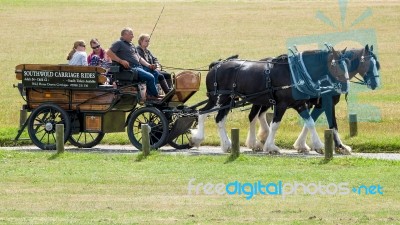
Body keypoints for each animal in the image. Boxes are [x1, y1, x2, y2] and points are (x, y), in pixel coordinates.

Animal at [191, 48, 350, 152]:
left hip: (225, 101)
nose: (344, 87)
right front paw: (271, 146)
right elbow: (275, 125)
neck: (295, 73)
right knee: (205, 114)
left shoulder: (299, 104)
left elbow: (310, 123)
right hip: (219, 99)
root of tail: (217, 64)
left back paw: (226, 145)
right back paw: (201, 139)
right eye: (334, 64)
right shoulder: (282, 104)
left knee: (216, 118)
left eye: (346, 64)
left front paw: (318, 145)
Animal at [245, 45, 380, 154]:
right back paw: (254, 142)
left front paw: (302, 145)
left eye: (377, 64)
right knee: (253, 116)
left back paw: (262, 137)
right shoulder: (327, 103)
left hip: (266, 101)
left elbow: (310, 121)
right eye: (368, 63)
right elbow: (332, 124)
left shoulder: (319, 105)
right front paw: (340, 147)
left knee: (259, 115)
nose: (375, 83)